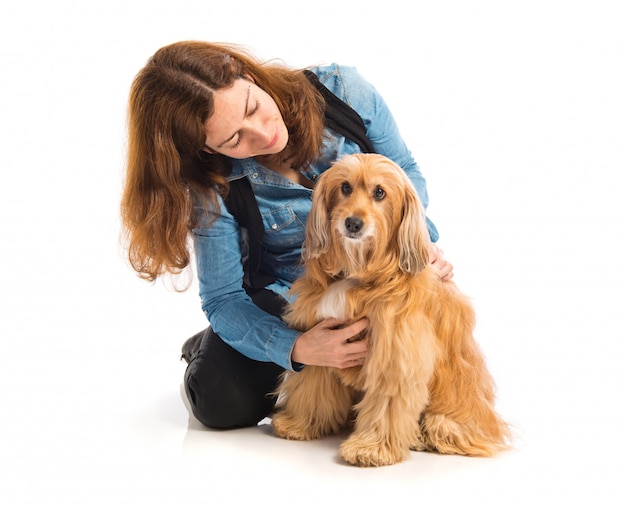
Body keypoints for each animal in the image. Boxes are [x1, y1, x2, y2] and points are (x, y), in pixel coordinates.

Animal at [270, 154, 510, 468]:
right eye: (345, 187)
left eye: (380, 193)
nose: (353, 223)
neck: (360, 272)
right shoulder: (320, 342)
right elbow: (313, 386)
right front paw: (300, 423)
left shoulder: (394, 355)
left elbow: (387, 402)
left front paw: (371, 448)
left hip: (451, 412)